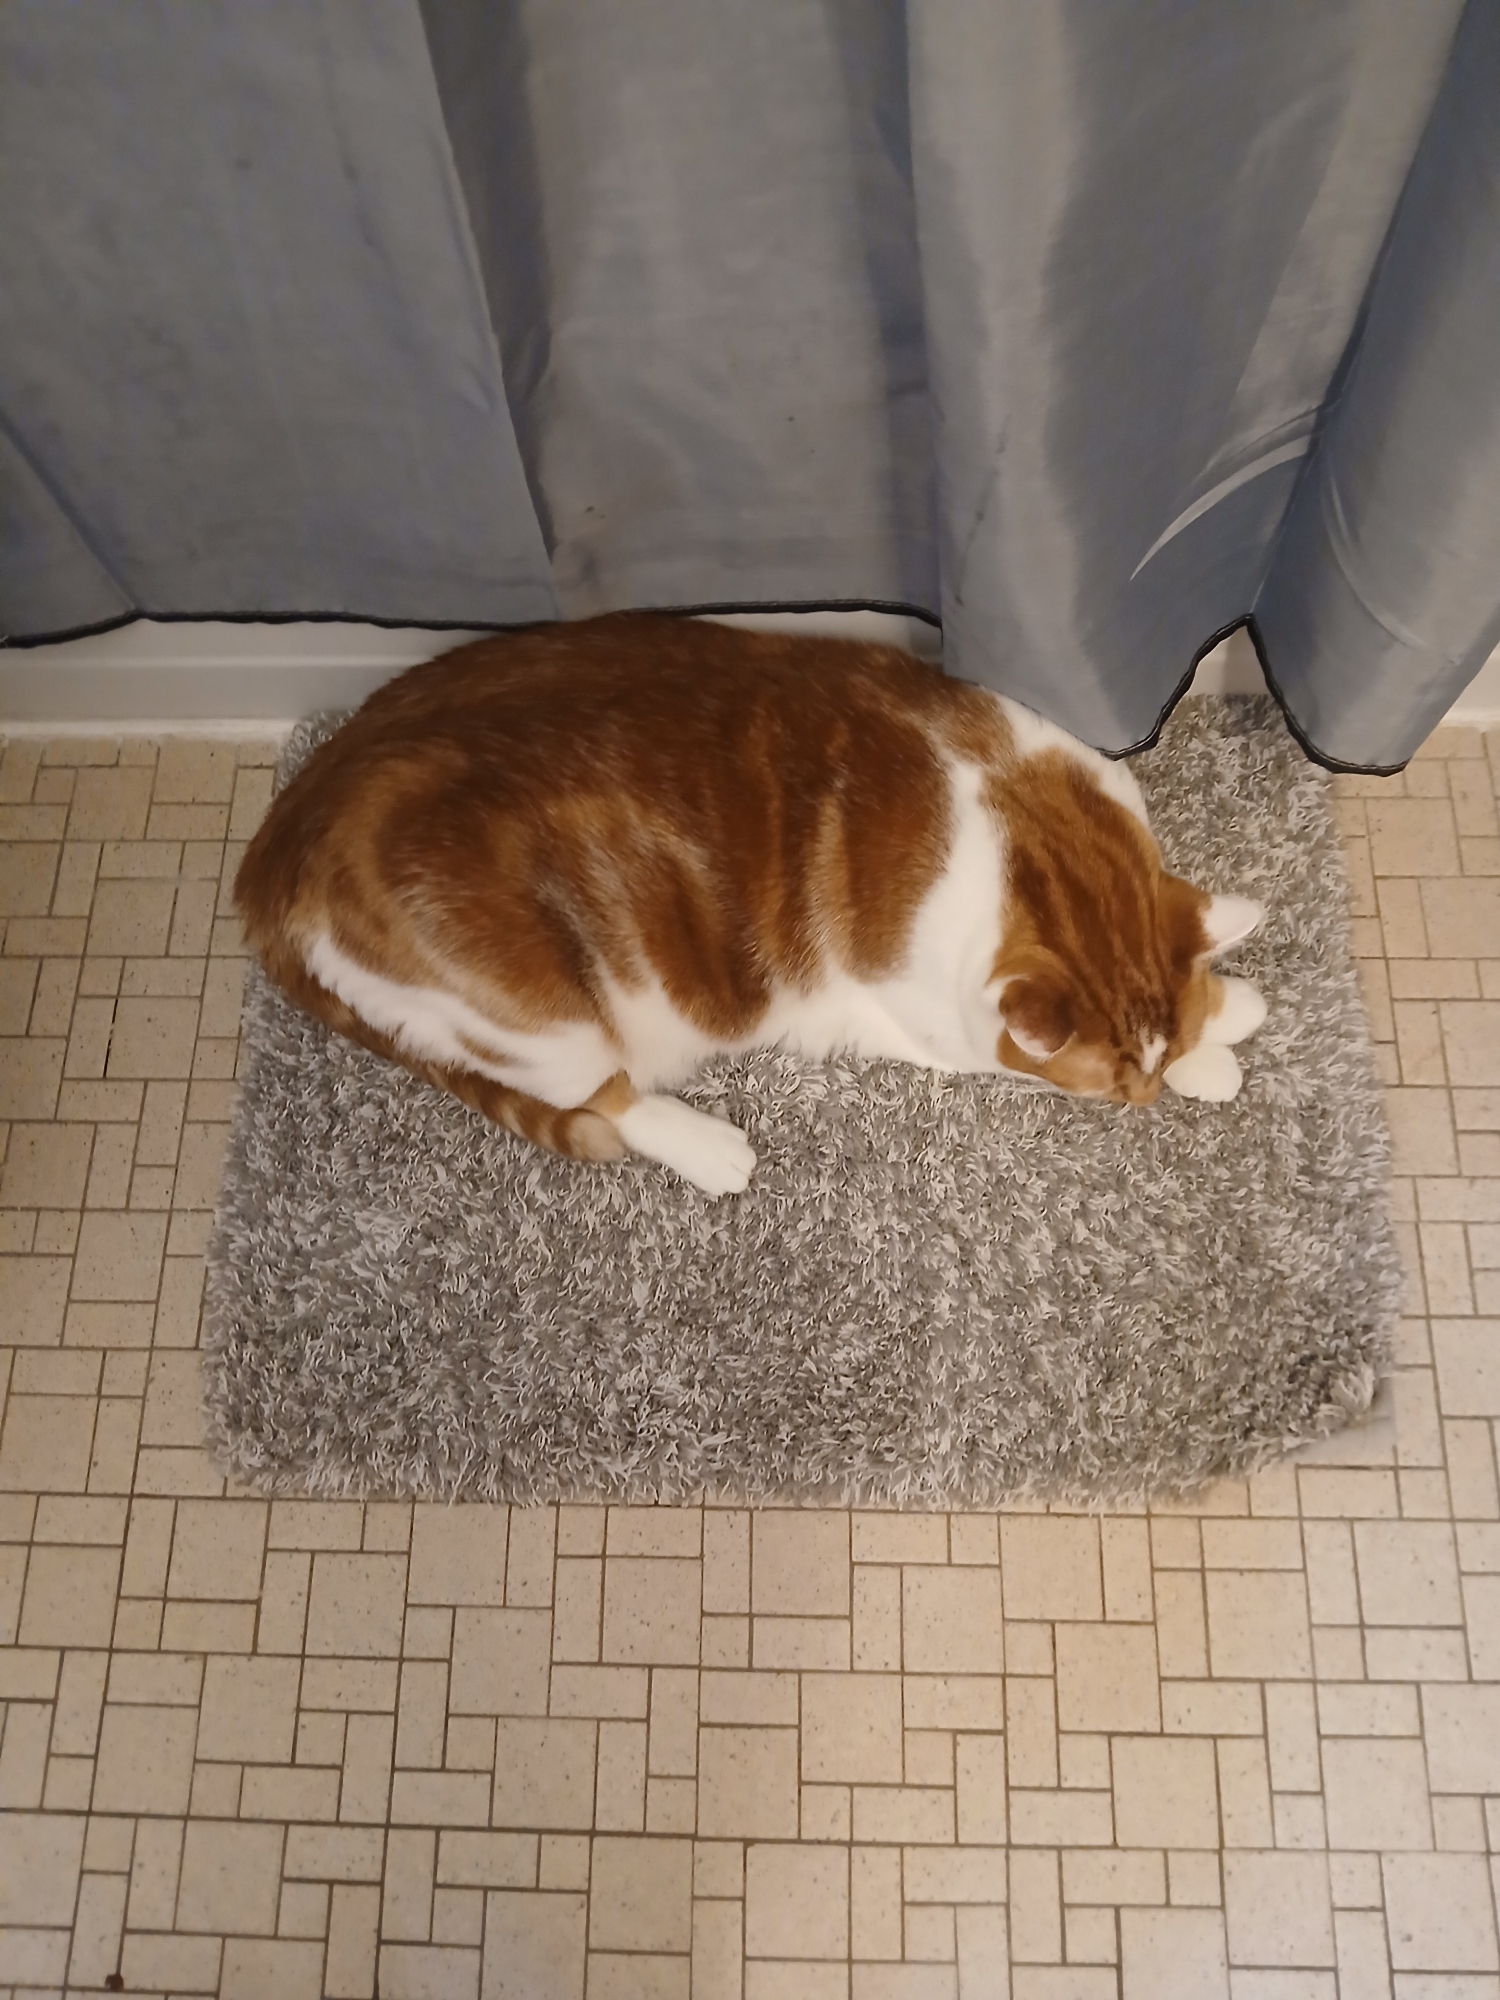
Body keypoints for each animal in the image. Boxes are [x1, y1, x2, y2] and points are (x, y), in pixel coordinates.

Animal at [235, 612, 1267, 1196]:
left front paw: (1226, 1013)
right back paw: (707, 1148)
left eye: (1143, 1073)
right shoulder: (941, 1026)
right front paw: (1218, 1055)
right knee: (599, 1092)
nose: (1144, 1101)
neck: (1011, 807)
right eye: (1111, 1089)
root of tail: (274, 853)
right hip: (539, 1018)